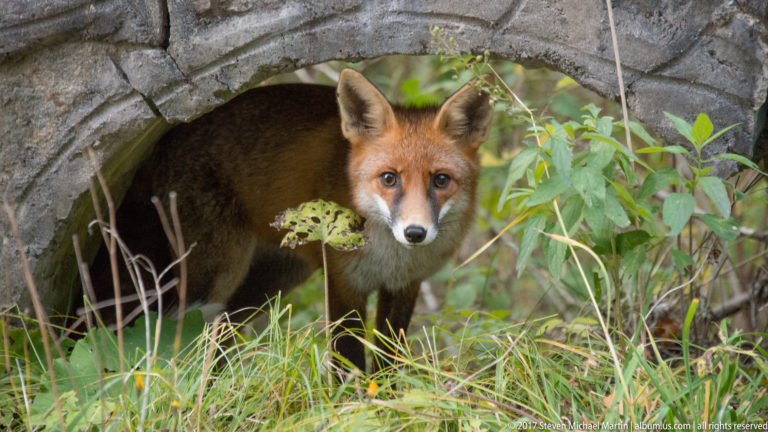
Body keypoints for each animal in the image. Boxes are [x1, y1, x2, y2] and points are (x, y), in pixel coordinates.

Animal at [89, 69, 493, 373]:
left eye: (440, 180)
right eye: (389, 178)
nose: (415, 232)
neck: (390, 255)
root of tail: (162, 142)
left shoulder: (404, 286)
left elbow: (389, 360)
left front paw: (387, 402)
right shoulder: (343, 282)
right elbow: (347, 359)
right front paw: (352, 405)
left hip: (271, 281)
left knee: (218, 335)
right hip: (211, 277)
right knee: (174, 332)